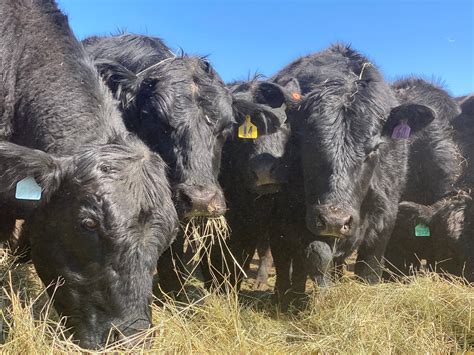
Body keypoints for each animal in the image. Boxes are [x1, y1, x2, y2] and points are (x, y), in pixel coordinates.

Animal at [266, 44, 436, 306]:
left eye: (374, 148)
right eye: (305, 140)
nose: (335, 220)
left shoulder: (384, 218)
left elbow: (369, 270)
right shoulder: (284, 217)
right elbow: (307, 257)